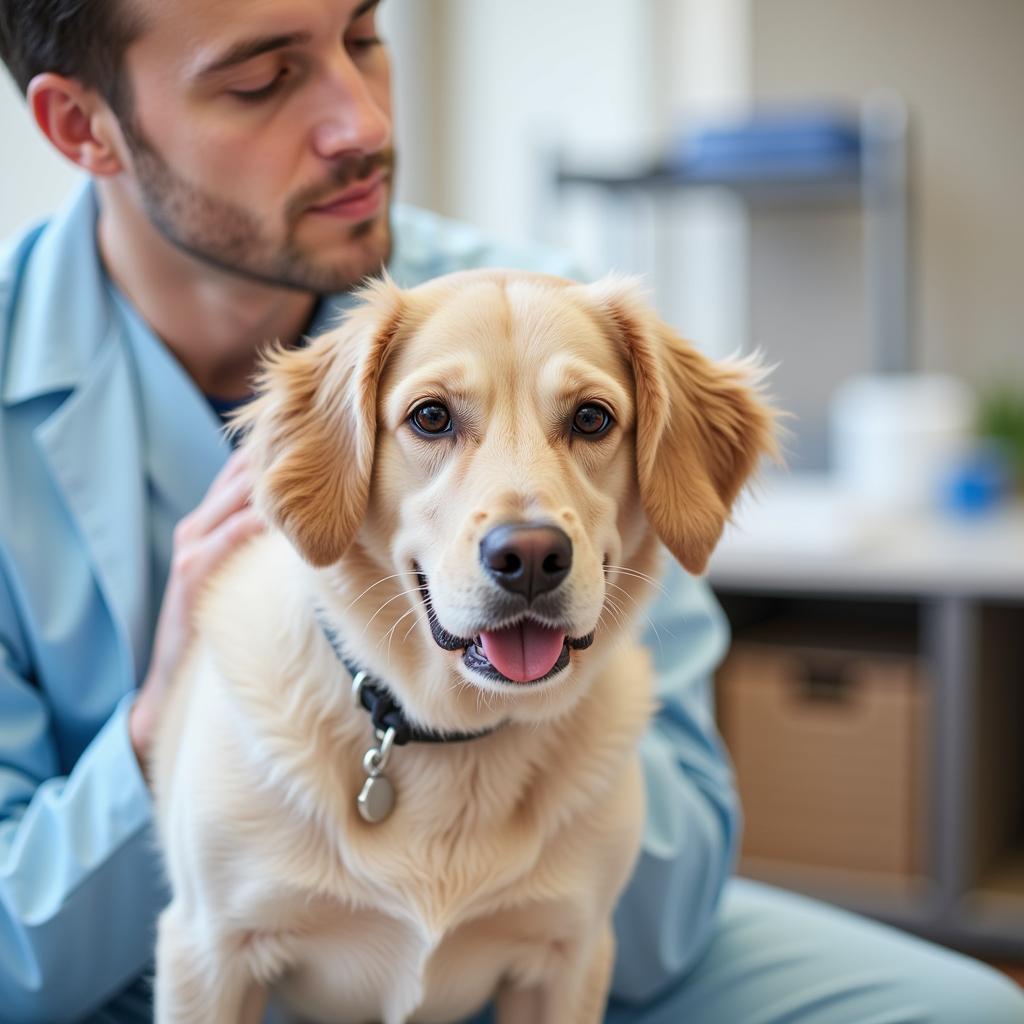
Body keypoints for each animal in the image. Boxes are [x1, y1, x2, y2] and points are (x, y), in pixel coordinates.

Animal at [149, 268, 774, 1019]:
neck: (455, 739)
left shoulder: (568, 956)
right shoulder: (208, 951)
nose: (530, 557)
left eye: (591, 418)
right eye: (431, 417)